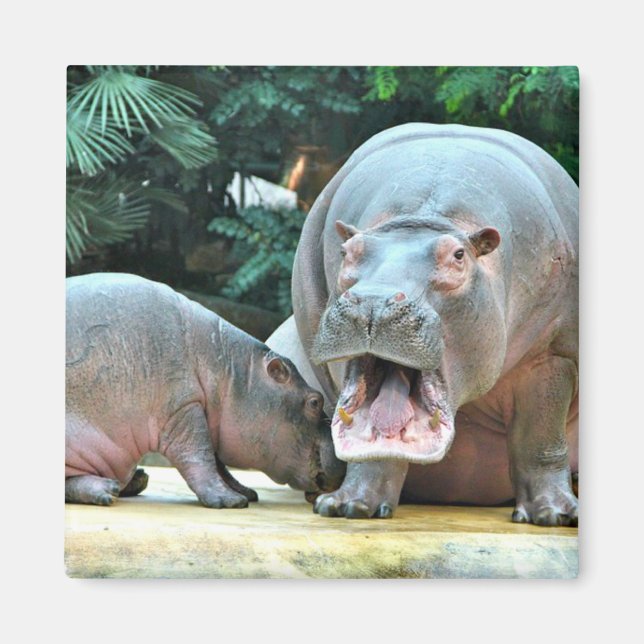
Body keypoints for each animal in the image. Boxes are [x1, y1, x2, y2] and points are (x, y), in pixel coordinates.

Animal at [66, 273, 345, 508]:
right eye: (315, 401)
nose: (342, 457)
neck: (230, 370)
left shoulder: (208, 416)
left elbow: (218, 463)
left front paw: (244, 493)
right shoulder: (182, 409)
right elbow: (200, 456)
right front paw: (228, 501)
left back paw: (125, 483)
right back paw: (106, 490)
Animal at [267, 123, 578, 525]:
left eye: (458, 256)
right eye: (348, 251)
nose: (374, 301)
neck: (423, 218)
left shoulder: (551, 354)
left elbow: (539, 436)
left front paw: (553, 515)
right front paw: (348, 506)